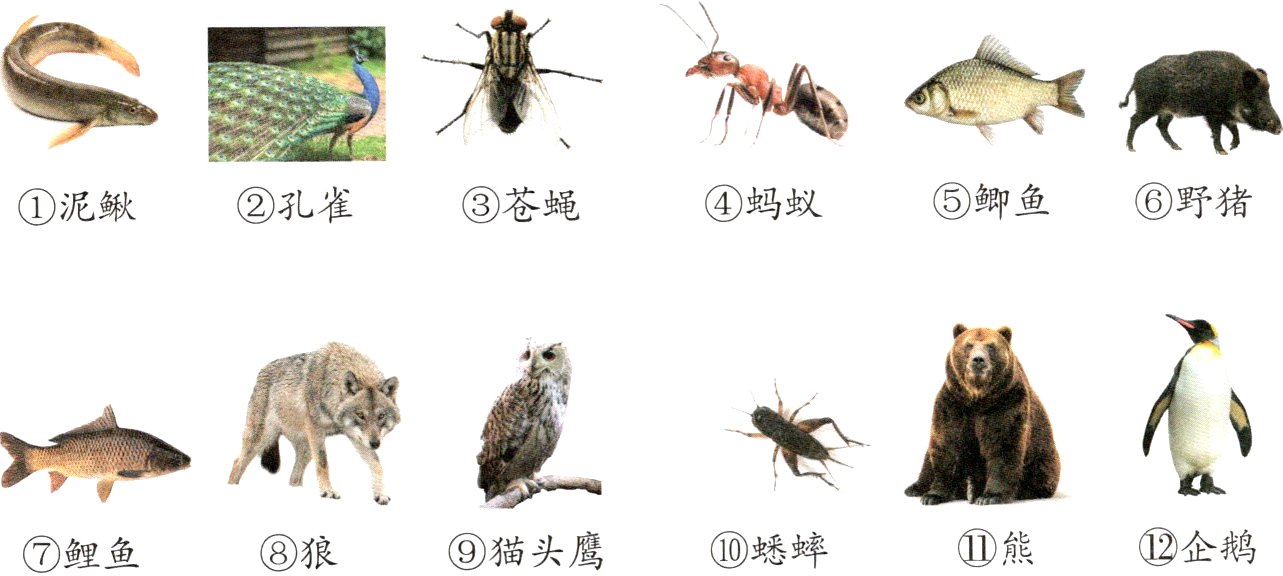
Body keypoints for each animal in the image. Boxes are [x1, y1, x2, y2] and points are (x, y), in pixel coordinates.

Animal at [904, 324, 1060, 505]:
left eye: (991, 346)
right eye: (968, 345)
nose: (978, 360)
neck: (977, 397)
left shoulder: (1006, 403)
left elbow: (1002, 444)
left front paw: (990, 496)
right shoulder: (953, 404)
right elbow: (946, 443)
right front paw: (933, 495)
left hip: (1043, 460)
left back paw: (974, 488)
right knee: (928, 460)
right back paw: (916, 488)